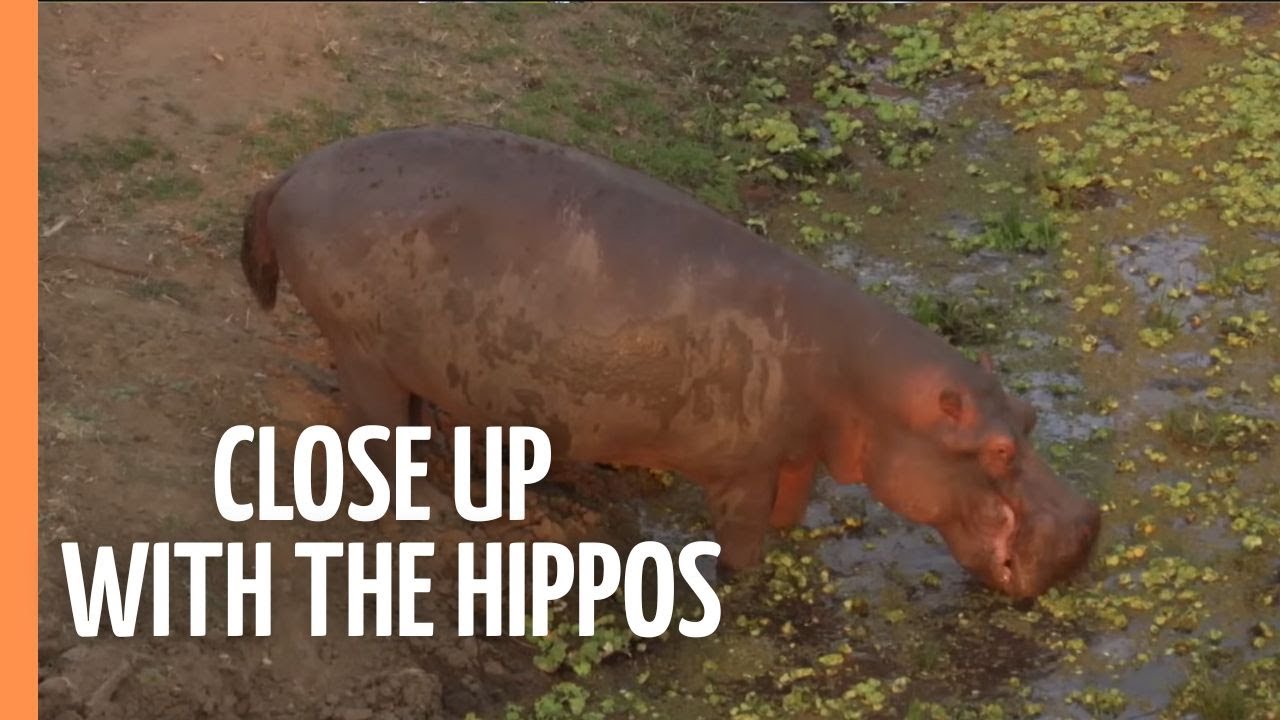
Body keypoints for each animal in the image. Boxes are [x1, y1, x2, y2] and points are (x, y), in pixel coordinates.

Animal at [241, 125, 1100, 598]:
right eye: (997, 449)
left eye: (1031, 417)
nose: (1087, 530)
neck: (868, 385)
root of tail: (286, 173)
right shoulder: (741, 472)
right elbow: (745, 542)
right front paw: (745, 585)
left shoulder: (793, 452)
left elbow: (791, 509)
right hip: (359, 349)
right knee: (374, 432)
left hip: (397, 354)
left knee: (412, 416)